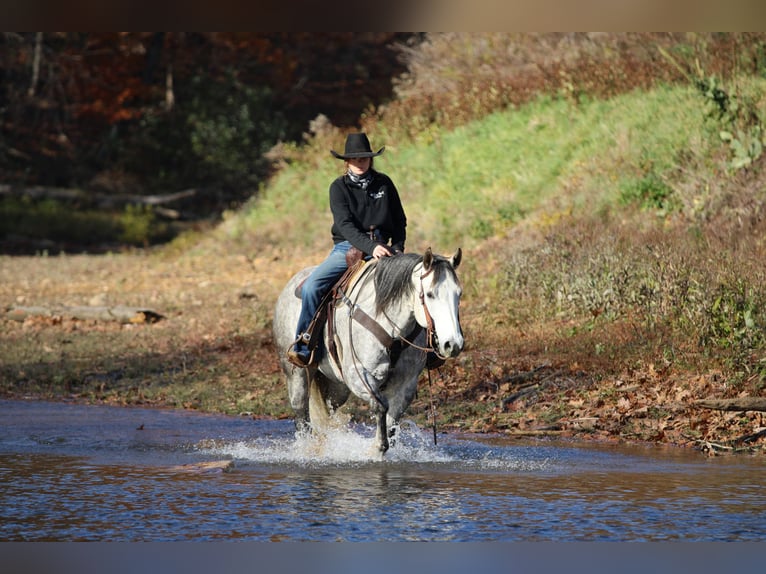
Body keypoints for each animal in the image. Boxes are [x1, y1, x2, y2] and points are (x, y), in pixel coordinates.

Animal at [273, 247, 464, 454]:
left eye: (459, 294)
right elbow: (380, 408)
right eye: (429, 294)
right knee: (301, 413)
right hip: (298, 375)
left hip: (336, 387)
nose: (453, 344)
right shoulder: (357, 375)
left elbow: (392, 423)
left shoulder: (406, 385)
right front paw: (376, 449)